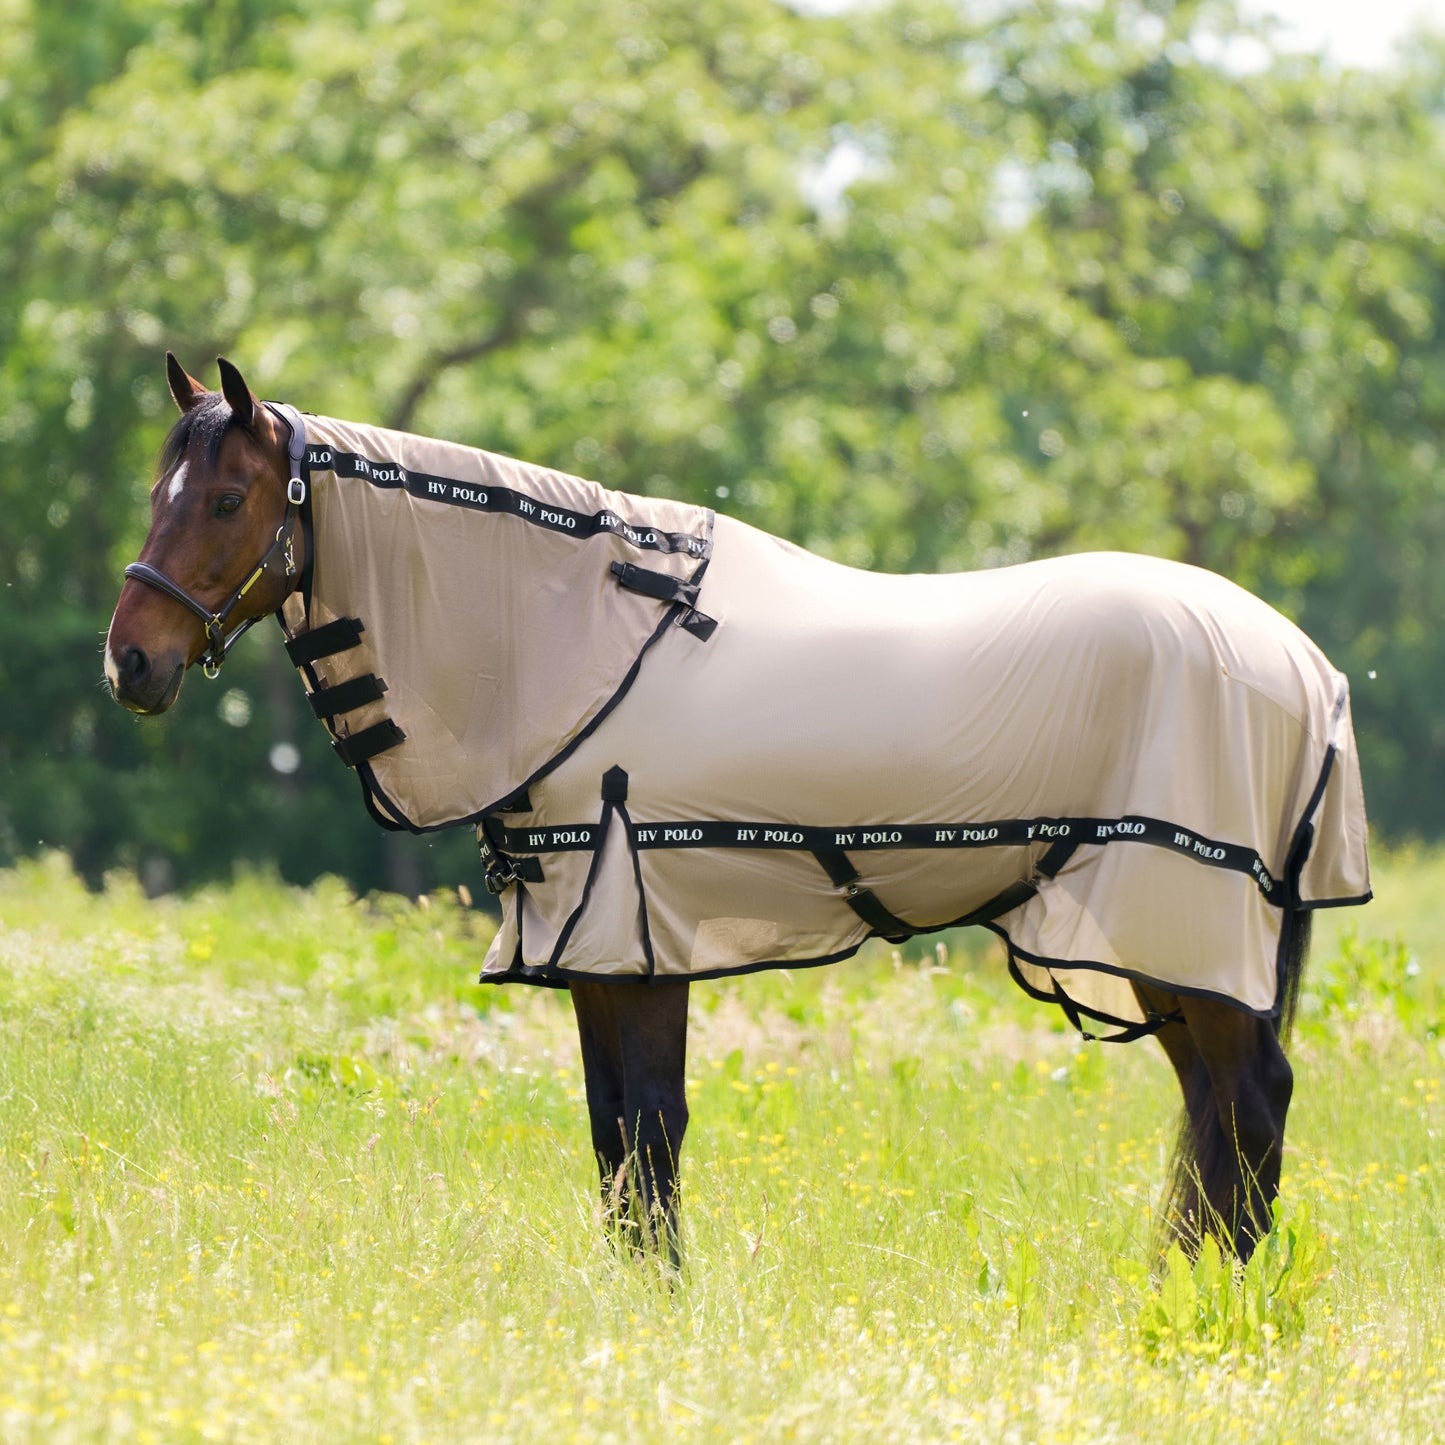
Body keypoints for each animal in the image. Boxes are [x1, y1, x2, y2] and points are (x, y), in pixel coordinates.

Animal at [105, 355, 1371, 1266]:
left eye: (226, 498)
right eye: (156, 493)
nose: (131, 662)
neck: (579, 639)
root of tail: (1303, 665)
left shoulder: (633, 937)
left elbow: (649, 1128)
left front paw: (665, 1301)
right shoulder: (596, 954)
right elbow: (614, 1133)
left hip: (1175, 924)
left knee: (1247, 1102)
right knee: (1215, 1112)